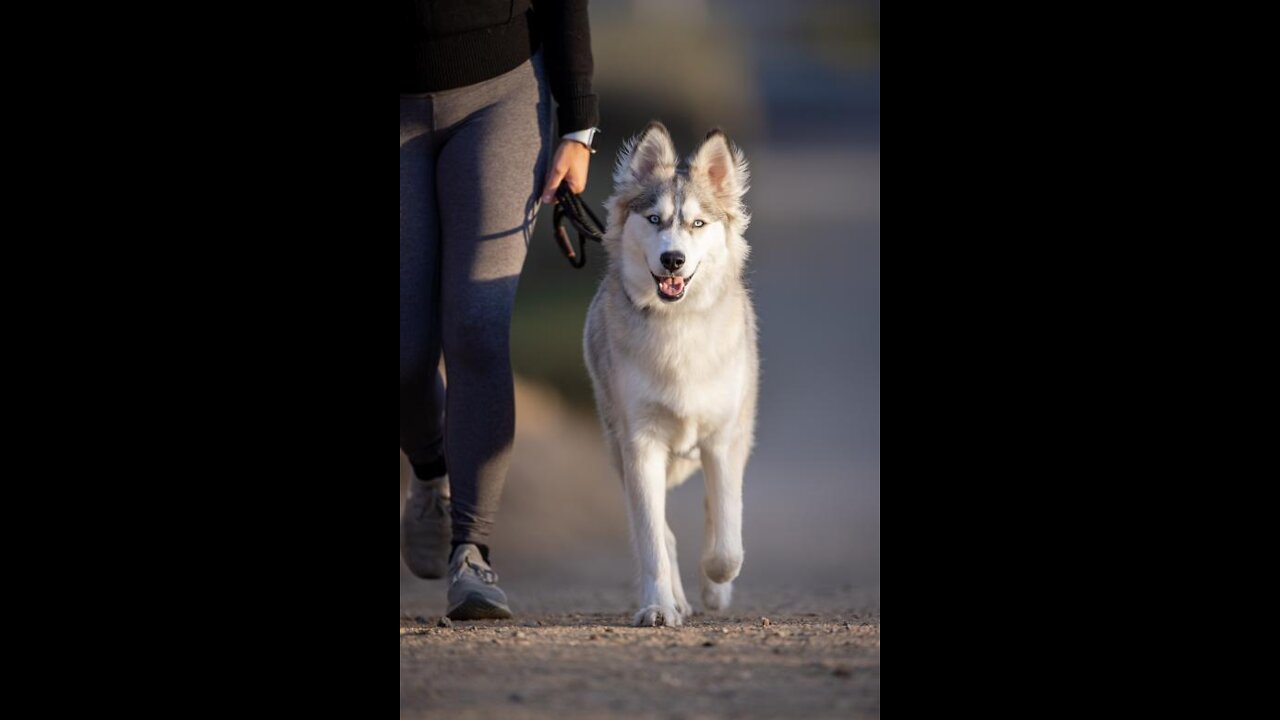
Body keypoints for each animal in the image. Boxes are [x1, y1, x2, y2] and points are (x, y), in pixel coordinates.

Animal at [583, 121, 752, 622]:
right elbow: (653, 539)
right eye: (654, 220)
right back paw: (675, 598)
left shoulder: (723, 439)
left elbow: (727, 540)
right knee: (661, 532)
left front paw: (715, 583)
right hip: (618, 446)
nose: (673, 260)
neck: (678, 328)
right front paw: (658, 607)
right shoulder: (640, 443)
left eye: (697, 224)